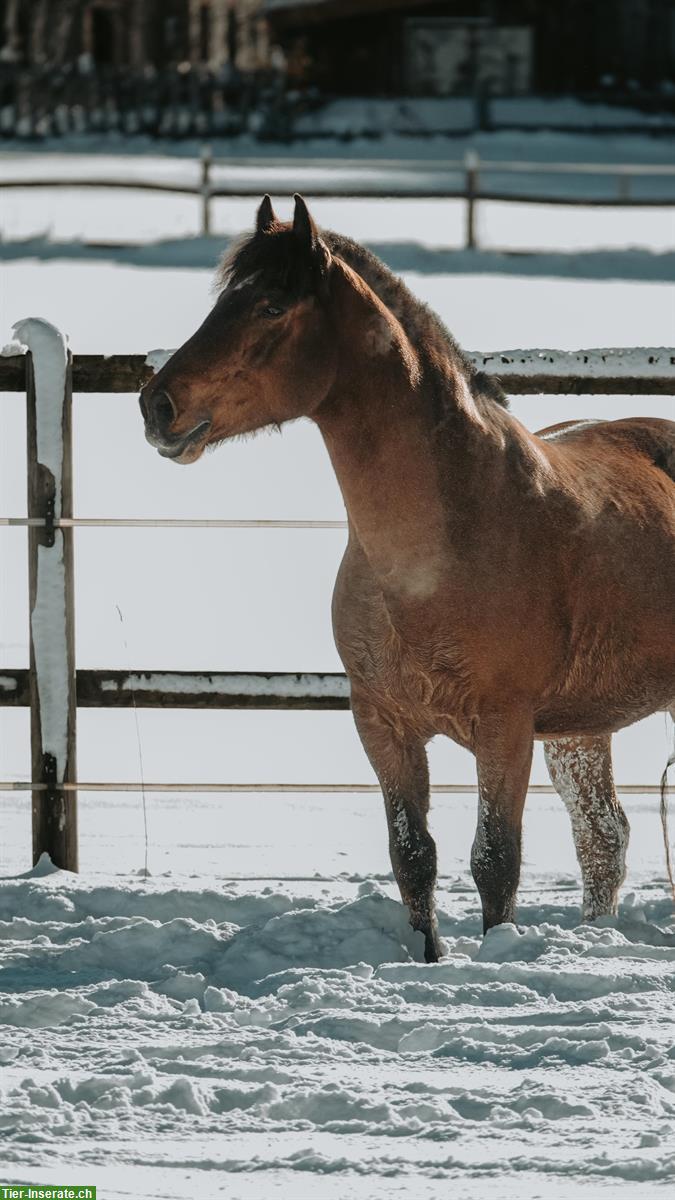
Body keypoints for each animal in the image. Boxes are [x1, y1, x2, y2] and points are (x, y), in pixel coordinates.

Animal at [138, 196, 672, 964]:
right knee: (602, 839)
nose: (158, 407)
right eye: (222, 302)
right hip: (579, 729)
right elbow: (412, 855)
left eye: (270, 305)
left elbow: (495, 860)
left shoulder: (503, 725)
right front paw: (430, 958)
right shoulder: (382, 722)